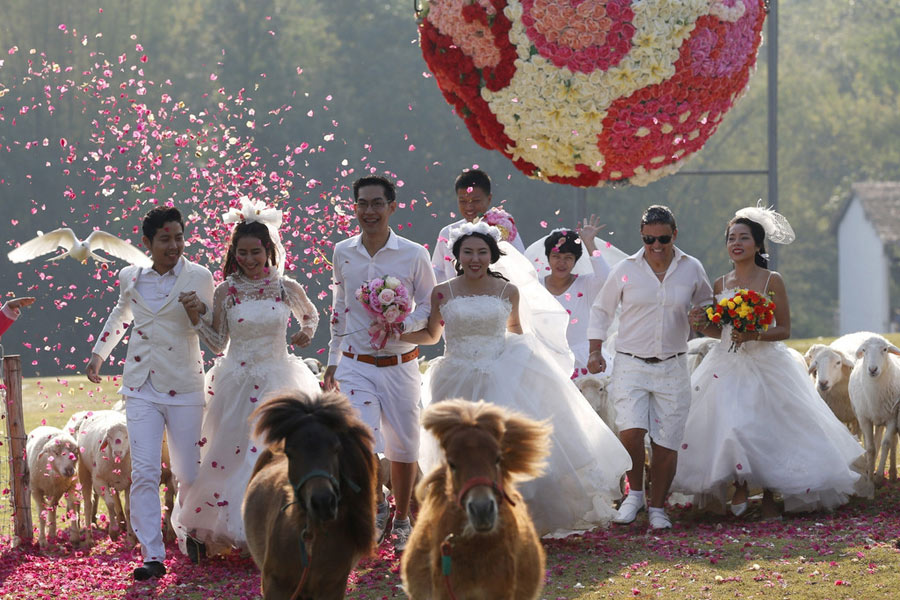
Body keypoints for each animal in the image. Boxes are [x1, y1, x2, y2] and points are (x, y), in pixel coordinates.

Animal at [73, 412, 133, 544]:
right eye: (109, 437)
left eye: (127, 436)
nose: (117, 453)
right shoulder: (99, 481)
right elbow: (110, 504)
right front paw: (114, 532)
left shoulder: (130, 483)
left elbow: (128, 509)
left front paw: (131, 539)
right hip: (84, 471)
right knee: (88, 504)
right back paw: (89, 538)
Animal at [243, 392, 376, 596]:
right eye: (290, 452)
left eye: (336, 448)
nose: (323, 503)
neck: (312, 541)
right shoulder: (275, 585)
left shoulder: (333, 587)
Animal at [848, 336, 900, 486]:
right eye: (864, 350)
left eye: (885, 349)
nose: (872, 369)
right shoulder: (864, 419)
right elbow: (870, 448)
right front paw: (870, 479)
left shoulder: (892, 417)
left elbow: (886, 444)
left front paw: (878, 478)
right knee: (871, 442)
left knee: (893, 442)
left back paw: (892, 474)